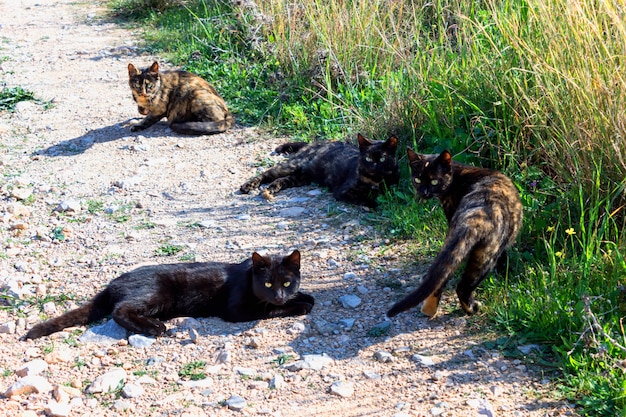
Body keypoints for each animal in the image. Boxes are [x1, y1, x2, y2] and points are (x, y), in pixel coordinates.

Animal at [22, 249, 312, 340]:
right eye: (267, 284)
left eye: (287, 283)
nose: (279, 295)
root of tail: (113, 282)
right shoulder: (237, 309)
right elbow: (269, 310)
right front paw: (300, 305)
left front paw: (304, 296)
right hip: (158, 294)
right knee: (120, 310)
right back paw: (155, 327)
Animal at [236, 132, 398, 207]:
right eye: (368, 159)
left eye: (382, 159)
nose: (373, 167)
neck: (374, 180)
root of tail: (312, 143)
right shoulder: (344, 191)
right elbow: (365, 198)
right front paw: (375, 204)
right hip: (292, 165)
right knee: (266, 174)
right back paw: (248, 186)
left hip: (302, 177)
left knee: (280, 180)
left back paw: (272, 189)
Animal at [386, 149, 520, 316]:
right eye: (417, 180)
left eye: (434, 181)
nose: (423, 192)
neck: (457, 175)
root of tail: (475, 218)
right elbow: (504, 258)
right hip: (487, 255)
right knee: (463, 287)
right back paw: (472, 308)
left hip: (452, 245)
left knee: (440, 277)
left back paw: (429, 310)